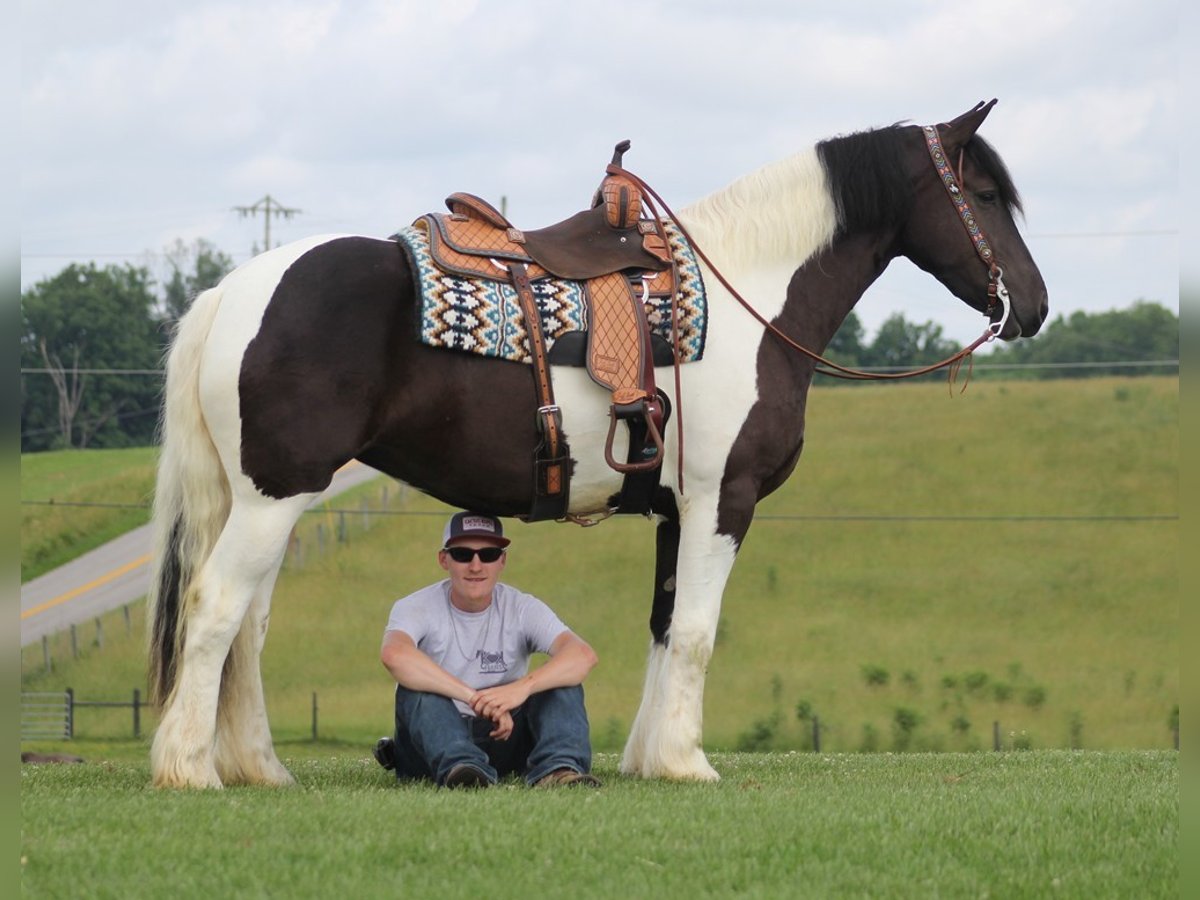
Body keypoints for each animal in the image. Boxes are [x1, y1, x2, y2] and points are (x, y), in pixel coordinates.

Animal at [147, 100, 1051, 787]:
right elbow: (697, 630)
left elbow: (665, 624)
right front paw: (689, 763)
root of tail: (233, 291)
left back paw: (260, 768)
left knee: (249, 627)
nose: (1035, 305)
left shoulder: (677, 512)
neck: (751, 299)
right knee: (218, 608)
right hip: (273, 497)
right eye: (982, 192)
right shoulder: (721, 501)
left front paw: (653, 759)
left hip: (266, 501)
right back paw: (190, 769)